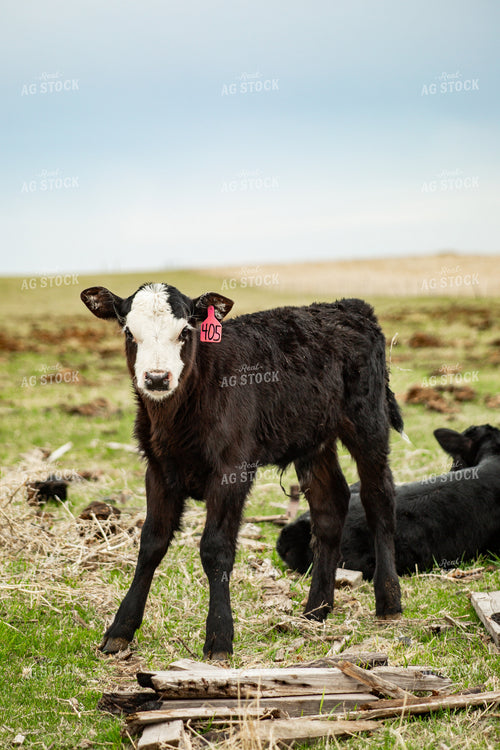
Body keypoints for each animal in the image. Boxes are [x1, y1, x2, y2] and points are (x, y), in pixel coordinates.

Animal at [81, 282, 404, 658]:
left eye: (185, 331)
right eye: (129, 332)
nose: (157, 378)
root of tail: (349, 307)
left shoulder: (232, 470)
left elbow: (216, 548)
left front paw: (219, 637)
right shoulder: (159, 468)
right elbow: (151, 544)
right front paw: (120, 630)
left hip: (368, 422)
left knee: (378, 498)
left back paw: (389, 602)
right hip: (313, 440)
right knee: (329, 507)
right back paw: (316, 609)